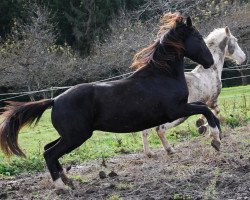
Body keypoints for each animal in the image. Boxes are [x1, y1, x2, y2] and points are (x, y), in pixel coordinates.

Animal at [0, 13, 219, 190]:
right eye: (199, 37)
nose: (210, 62)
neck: (162, 76)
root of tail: (55, 100)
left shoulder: (179, 110)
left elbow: (205, 109)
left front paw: (215, 135)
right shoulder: (176, 110)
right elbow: (205, 110)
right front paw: (216, 138)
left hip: (70, 135)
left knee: (48, 148)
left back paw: (68, 181)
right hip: (76, 136)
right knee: (50, 154)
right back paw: (61, 187)